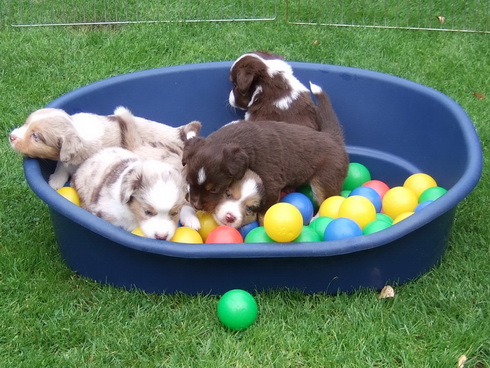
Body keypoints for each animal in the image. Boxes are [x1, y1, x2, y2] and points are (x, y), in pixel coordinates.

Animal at [8, 105, 199, 188]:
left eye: (36, 136)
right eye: (26, 123)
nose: (11, 136)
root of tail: (178, 132)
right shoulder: (66, 159)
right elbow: (61, 164)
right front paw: (55, 181)